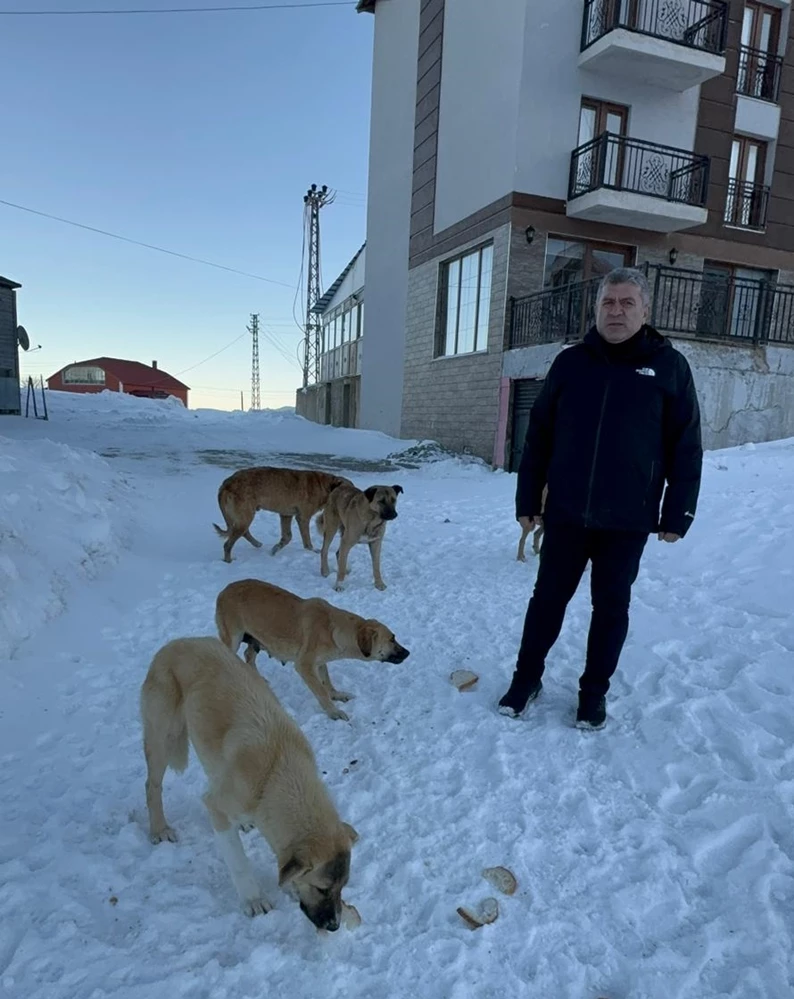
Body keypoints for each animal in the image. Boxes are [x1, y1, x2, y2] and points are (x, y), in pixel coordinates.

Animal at [139, 636, 356, 932]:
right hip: (164, 738)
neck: (277, 769)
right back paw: (159, 829)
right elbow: (239, 862)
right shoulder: (217, 809)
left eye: (342, 887)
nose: (334, 926)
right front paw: (254, 900)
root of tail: (174, 643)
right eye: (322, 889)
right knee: (152, 786)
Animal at [210, 466, 350, 564]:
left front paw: (275, 549)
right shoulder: (303, 517)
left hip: (244, 517)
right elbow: (307, 542)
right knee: (228, 544)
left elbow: (287, 537)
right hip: (246, 516)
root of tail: (225, 485)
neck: (325, 487)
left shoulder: (286, 515)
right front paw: (313, 551)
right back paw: (228, 561)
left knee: (243, 533)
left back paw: (257, 544)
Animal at [213, 580, 408, 720]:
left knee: (248, 656)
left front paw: (336, 695)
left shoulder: (319, 663)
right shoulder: (304, 665)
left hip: (257, 639)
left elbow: (326, 682)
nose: (408, 653)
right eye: (392, 639)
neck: (334, 629)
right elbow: (321, 691)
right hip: (233, 639)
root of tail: (223, 591)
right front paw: (333, 712)